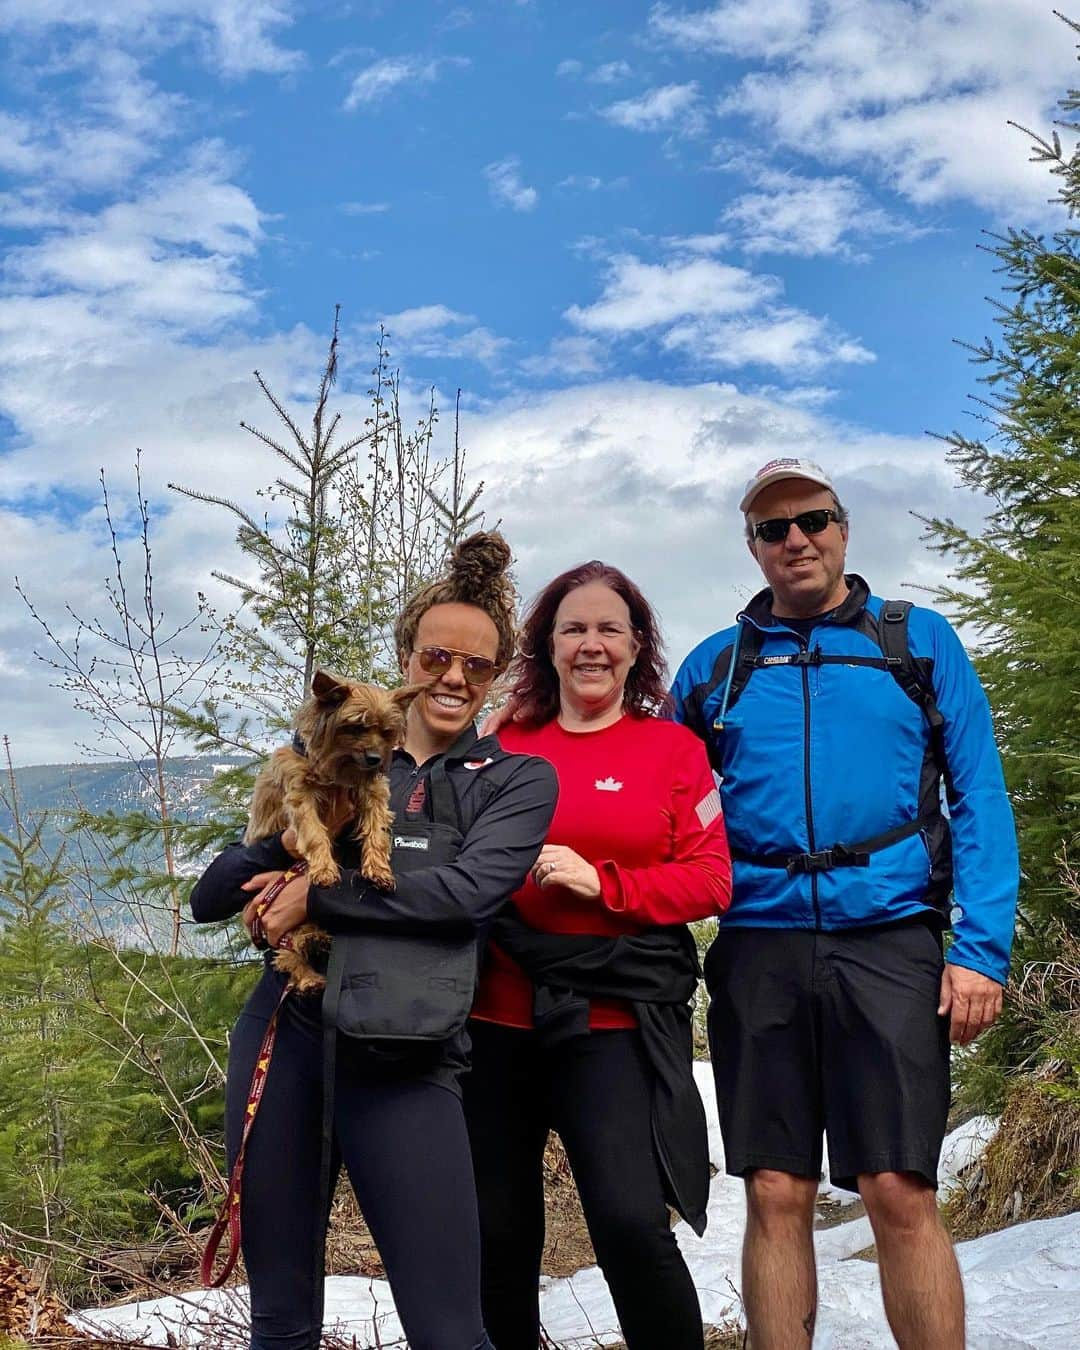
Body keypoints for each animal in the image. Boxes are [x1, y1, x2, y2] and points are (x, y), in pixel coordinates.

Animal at [244, 672, 418, 993]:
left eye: (387, 732)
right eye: (356, 726)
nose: (375, 758)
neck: (340, 769)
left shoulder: (372, 790)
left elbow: (376, 830)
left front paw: (379, 870)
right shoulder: (301, 793)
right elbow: (314, 833)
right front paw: (324, 869)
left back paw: (317, 941)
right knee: (286, 951)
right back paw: (308, 974)